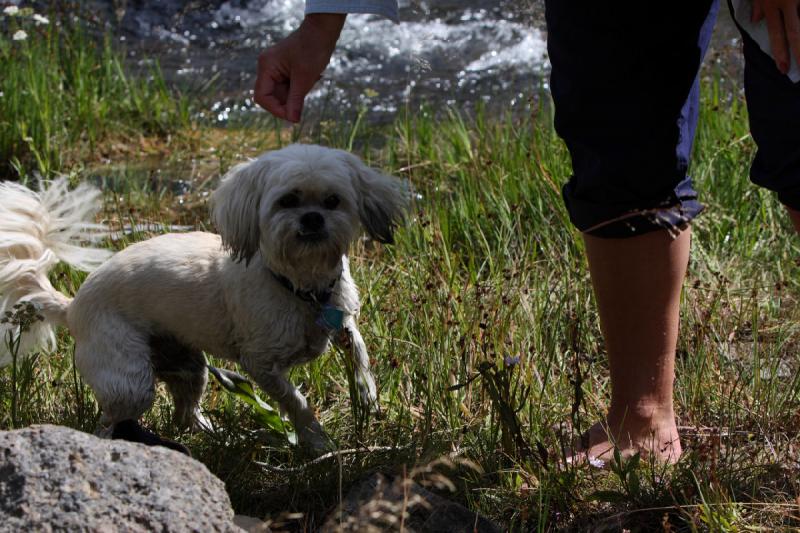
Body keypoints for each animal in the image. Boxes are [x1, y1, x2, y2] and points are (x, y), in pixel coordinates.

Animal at [0, 144, 406, 454]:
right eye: (287, 201)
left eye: (333, 201)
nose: (311, 219)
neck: (301, 285)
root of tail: (72, 308)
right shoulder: (260, 364)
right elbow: (296, 401)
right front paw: (317, 440)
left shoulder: (342, 321)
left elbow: (359, 355)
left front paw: (369, 398)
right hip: (129, 379)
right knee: (111, 420)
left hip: (190, 367)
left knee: (184, 414)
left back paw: (212, 436)